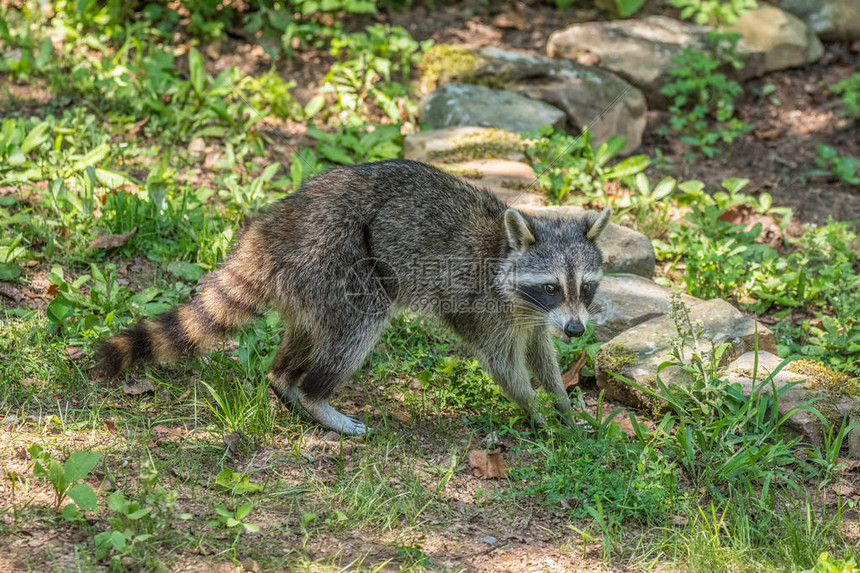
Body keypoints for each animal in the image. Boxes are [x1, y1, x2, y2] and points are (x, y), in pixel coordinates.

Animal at [94, 159, 608, 436]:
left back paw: (284, 378)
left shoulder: (533, 317)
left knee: (306, 332)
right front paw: (534, 409)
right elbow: (504, 365)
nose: (577, 330)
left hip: (307, 284)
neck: (505, 255)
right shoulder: (481, 305)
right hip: (334, 257)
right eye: (550, 286)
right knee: (361, 321)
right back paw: (315, 395)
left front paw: (562, 403)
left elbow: (540, 352)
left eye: (584, 287)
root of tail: (273, 229)